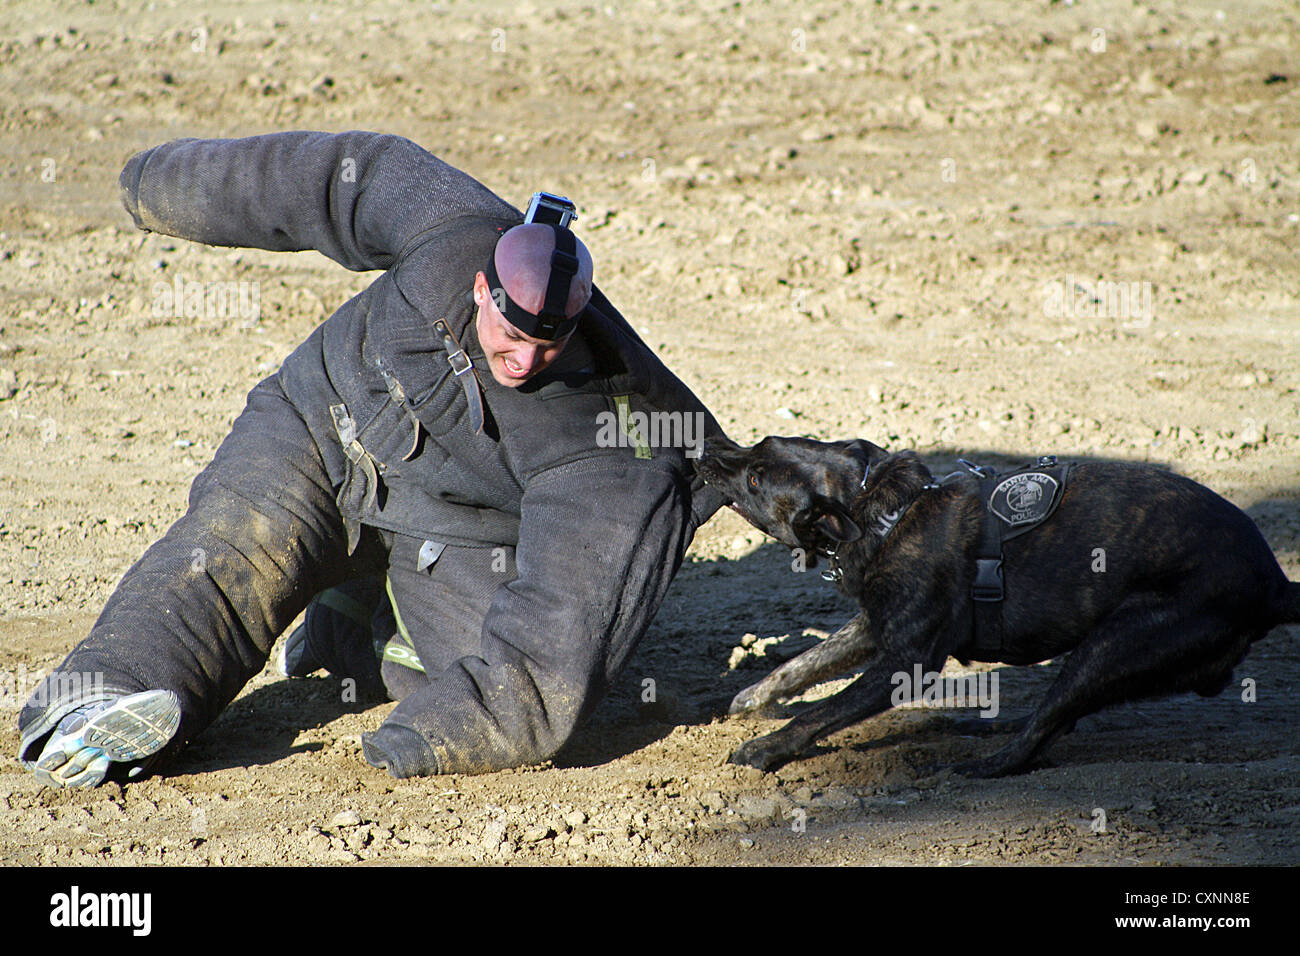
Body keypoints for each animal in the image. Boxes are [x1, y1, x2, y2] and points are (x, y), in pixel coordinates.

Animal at [702, 437, 1300, 775]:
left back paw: (977, 765)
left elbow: (821, 711)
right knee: (1055, 719)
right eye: (757, 443)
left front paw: (763, 749)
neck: (882, 510)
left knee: (1040, 735)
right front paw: (751, 700)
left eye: (753, 479)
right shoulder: (874, 627)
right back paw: (986, 727)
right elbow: (801, 665)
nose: (705, 451)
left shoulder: (906, 662)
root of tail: (1275, 582)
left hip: (1117, 644)